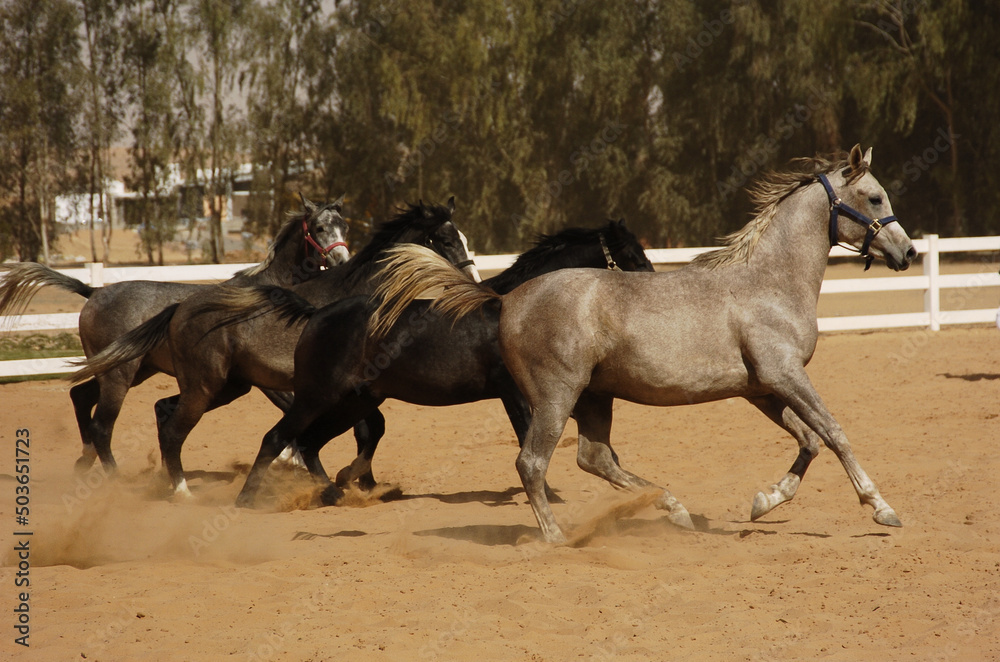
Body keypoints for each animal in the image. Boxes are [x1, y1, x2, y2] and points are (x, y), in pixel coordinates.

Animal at [0, 195, 349, 471]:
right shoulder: (263, 377)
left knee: (80, 397)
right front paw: (292, 460)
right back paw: (114, 477)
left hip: (131, 370)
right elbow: (291, 409)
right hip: (119, 374)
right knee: (102, 425)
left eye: (344, 226)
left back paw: (84, 463)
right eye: (319, 228)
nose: (342, 259)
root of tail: (94, 291)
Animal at [72, 198, 478, 499]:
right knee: (107, 425)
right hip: (128, 375)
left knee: (104, 402)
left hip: (189, 380)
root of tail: (94, 293)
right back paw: (125, 482)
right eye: (445, 239)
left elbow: (366, 429)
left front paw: (362, 482)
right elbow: (353, 430)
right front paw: (343, 478)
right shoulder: (301, 386)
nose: (473, 280)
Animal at [213, 220, 653, 507]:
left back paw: (336, 492)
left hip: (352, 401)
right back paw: (247, 501)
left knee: (312, 442)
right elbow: (528, 437)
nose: (652, 286)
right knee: (278, 438)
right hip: (317, 396)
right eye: (632, 255)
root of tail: (315, 313)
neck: (519, 309)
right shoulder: (515, 393)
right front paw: (549, 496)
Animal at [373, 146, 918, 543]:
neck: (768, 283)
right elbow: (834, 432)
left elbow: (808, 440)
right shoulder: (785, 375)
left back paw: (675, 510)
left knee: (594, 459)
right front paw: (883, 509)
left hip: (594, 397)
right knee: (533, 464)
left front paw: (764, 503)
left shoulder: (761, 388)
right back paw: (558, 538)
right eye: (874, 198)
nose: (908, 252)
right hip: (556, 398)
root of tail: (505, 298)